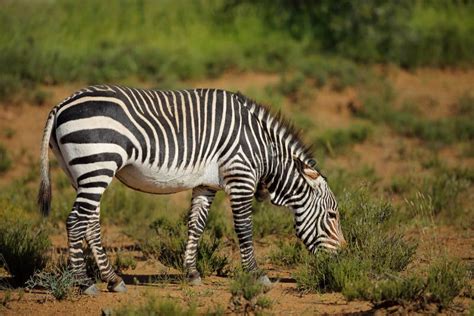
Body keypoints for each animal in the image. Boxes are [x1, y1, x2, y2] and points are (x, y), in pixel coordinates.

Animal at [37, 85, 346, 296]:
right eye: (332, 215)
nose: (343, 258)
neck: (263, 149)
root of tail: (62, 104)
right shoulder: (240, 177)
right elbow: (244, 228)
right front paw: (256, 274)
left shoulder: (205, 184)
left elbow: (196, 226)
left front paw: (192, 273)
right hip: (97, 165)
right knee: (75, 221)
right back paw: (84, 282)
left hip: (82, 173)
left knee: (89, 223)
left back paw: (112, 279)